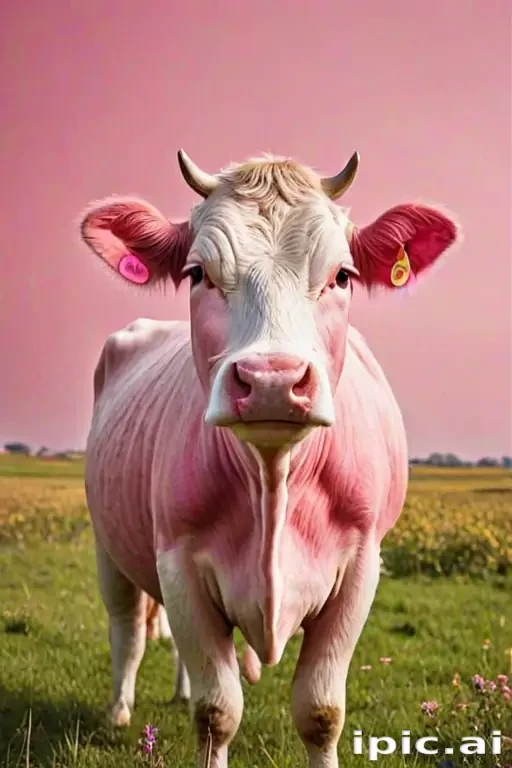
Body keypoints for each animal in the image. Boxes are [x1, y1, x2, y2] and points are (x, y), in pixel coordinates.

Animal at [80, 148, 460, 768]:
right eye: (197, 273)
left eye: (342, 275)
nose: (272, 381)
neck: (273, 477)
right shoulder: (179, 561)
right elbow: (216, 712)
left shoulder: (361, 567)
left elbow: (321, 711)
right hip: (109, 543)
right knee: (128, 630)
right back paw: (118, 710)